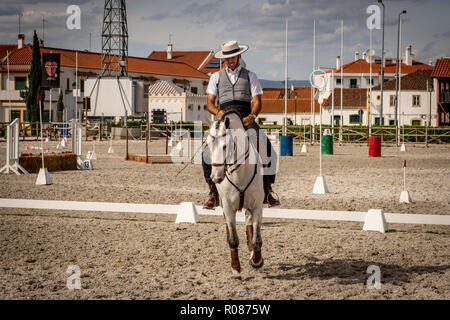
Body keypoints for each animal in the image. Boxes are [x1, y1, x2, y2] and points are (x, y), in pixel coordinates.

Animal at [207, 111, 266, 278]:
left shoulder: (257, 206)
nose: (215, 178)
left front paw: (256, 261)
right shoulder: (228, 207)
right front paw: (235, 268)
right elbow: (233, 239)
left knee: (249, 224)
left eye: (225, 146)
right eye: (208, 145)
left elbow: (257, 239)